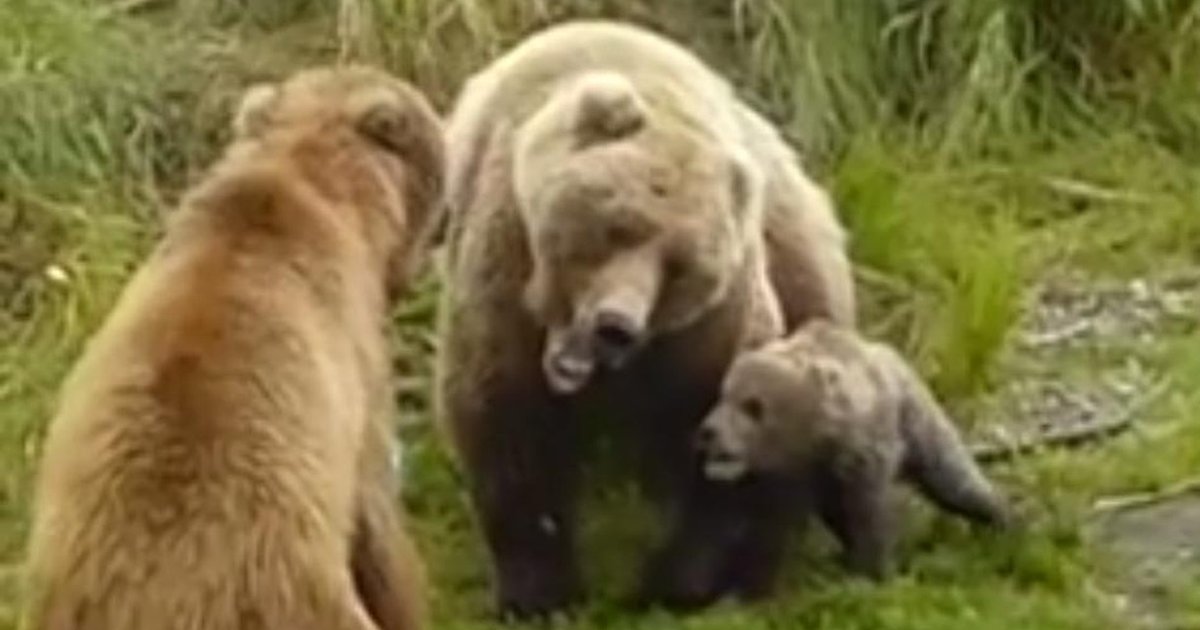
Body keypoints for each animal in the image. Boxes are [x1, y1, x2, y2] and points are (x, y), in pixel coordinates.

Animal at [433, 20, 855, 617]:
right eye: (618, 228)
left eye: (678, 265)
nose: (616, 325)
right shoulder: (504, 271)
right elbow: (503, 418)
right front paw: (540, 592)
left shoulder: (710, 327)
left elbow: (727, 433)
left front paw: (681, 583)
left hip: (804, 276)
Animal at [695, 320, 1013, 580]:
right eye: (724, 394)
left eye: (753, 406)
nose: (709, 432)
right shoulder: (811, 474)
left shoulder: (861, 452)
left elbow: (868, 510)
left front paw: (872, 570)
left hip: (914, 415)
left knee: (951, 474)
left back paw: (1004, 520)